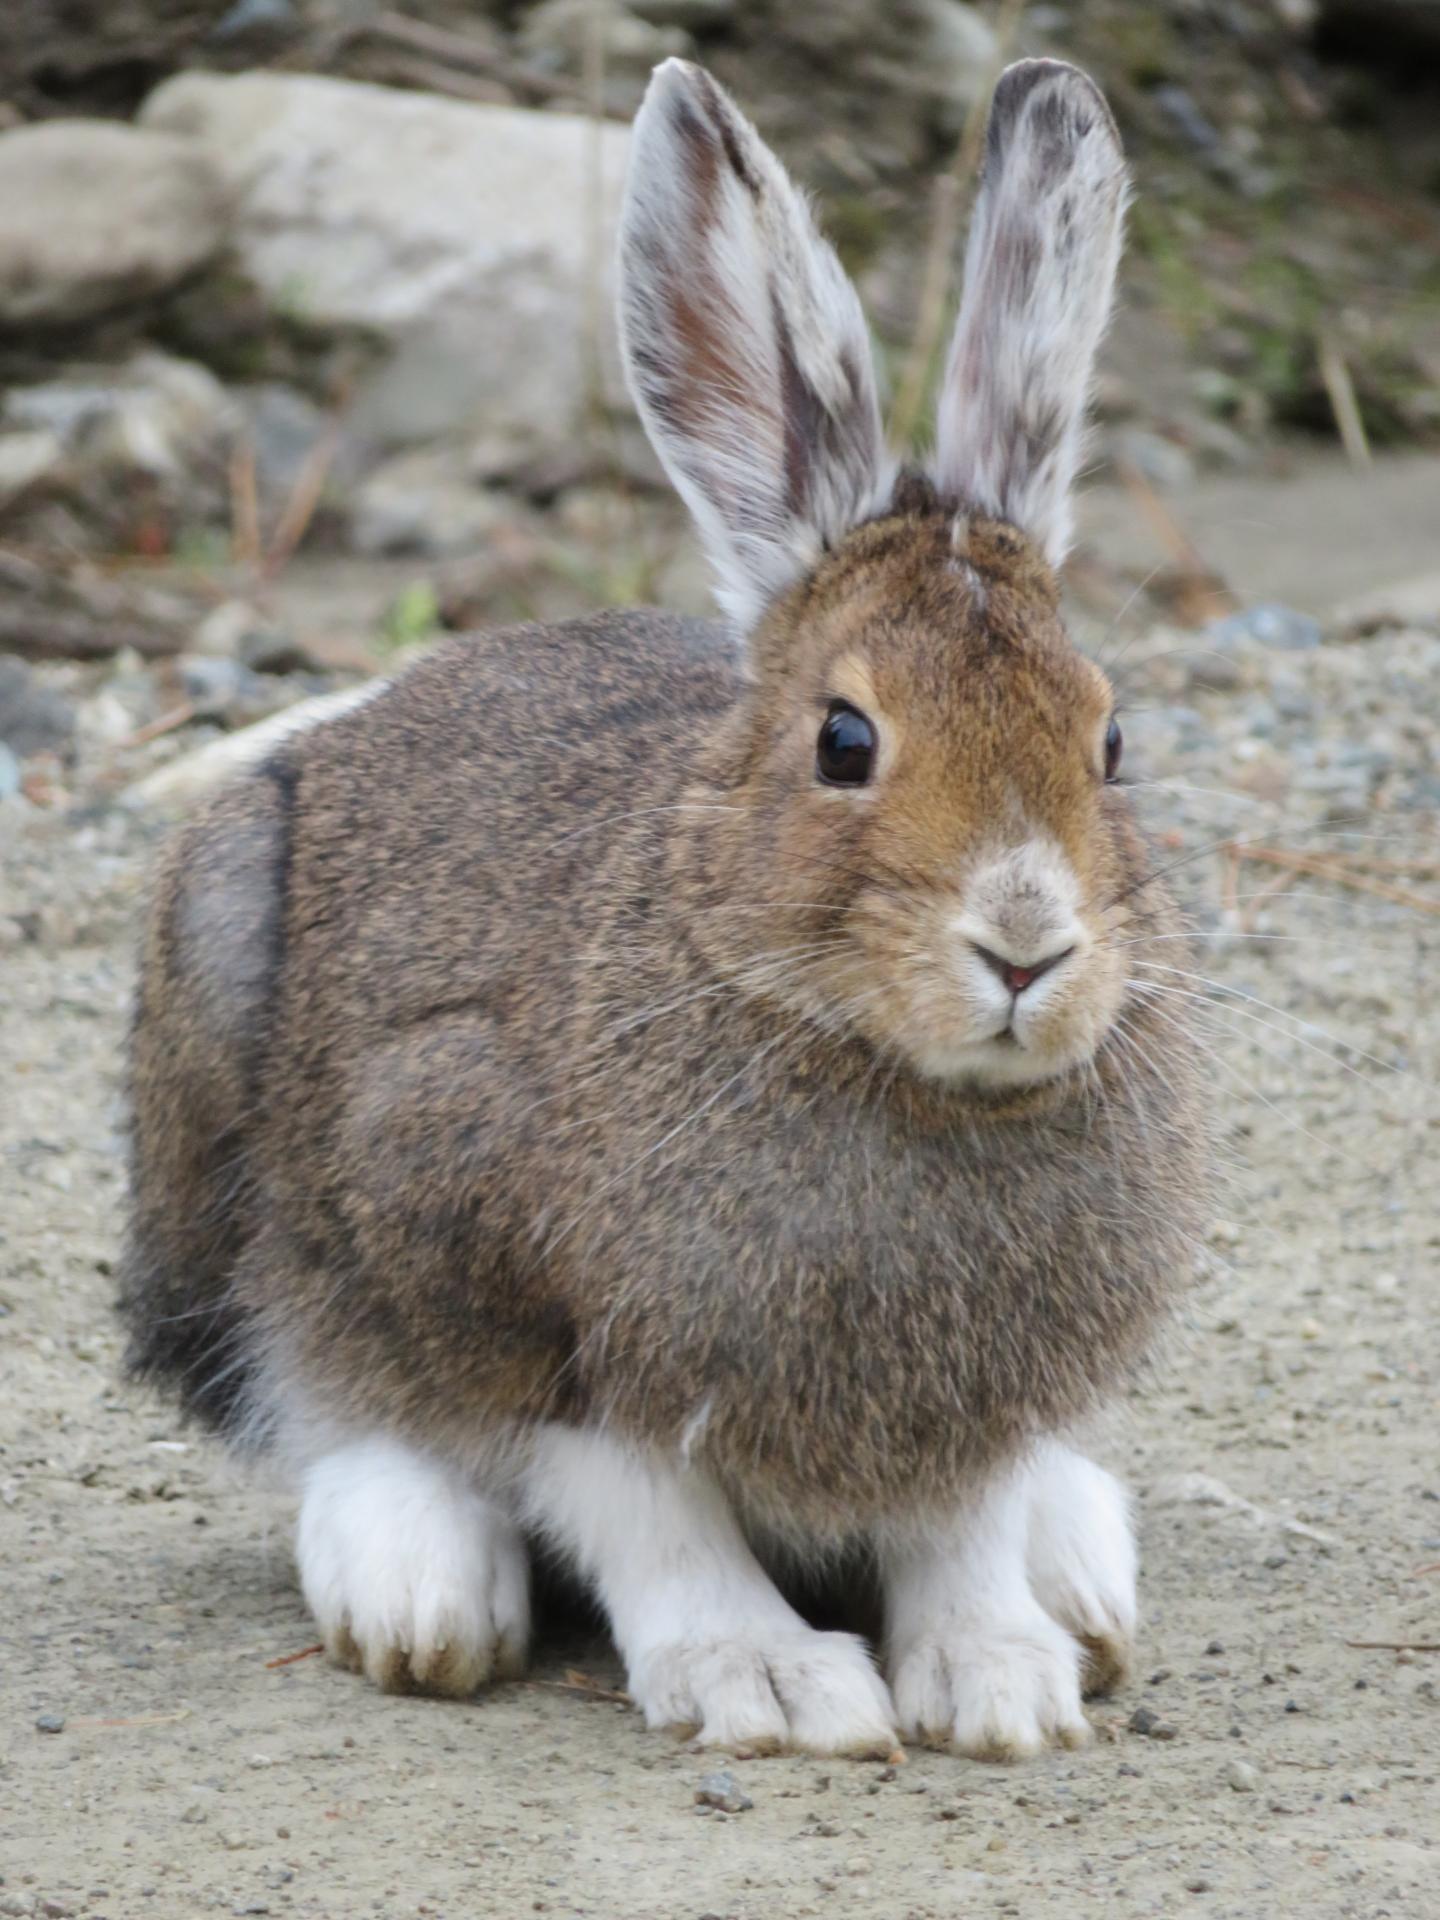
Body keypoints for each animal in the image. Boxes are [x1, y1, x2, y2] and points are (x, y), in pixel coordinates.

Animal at [118, 56, 1209, 1760]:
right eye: (845, 743)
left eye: (1112, 744)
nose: (1029, 946)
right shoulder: (505, 1282)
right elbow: (640, 1505)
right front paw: (767, 1682)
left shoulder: (974, 1393)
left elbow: (961, 1523)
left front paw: (997, 1681)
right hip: (215, 1008)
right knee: (308, 1392)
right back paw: (416, 1592)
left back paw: (1080, 1570)